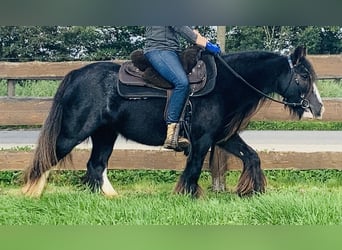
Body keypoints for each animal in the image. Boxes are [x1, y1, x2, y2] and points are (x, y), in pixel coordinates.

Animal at [22, 46, 324, 197]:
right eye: (303, 76)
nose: (318, 108)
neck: (226, 84)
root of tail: (76, 74)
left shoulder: (223, 137)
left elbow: (252, 156)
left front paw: (253, 191)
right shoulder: (202, 140)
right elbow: (193, 169)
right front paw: (186, 196)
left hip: (105, 135)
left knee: (96, 166)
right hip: (72, 133)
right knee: (47, 158)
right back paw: (29, 193)